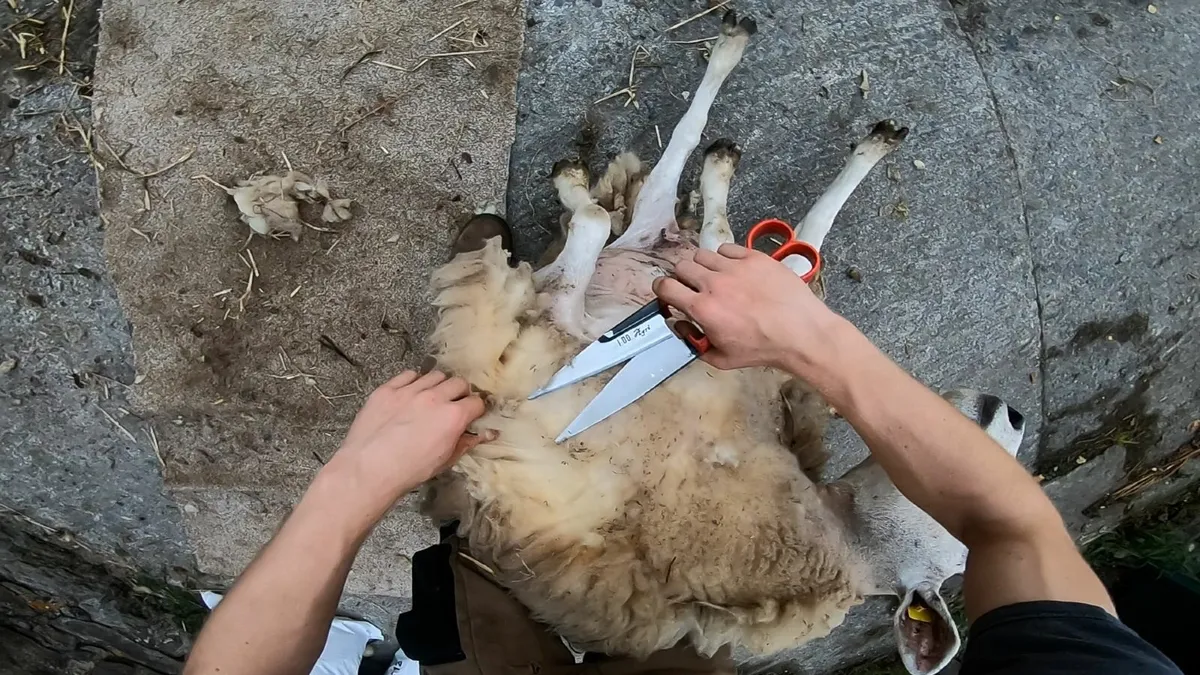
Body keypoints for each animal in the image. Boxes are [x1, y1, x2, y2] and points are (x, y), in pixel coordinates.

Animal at [423, 11, 1026, 674]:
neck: (830, 535)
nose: (1010, 410)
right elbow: (794, 252)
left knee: (648, 207)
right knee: (641, 217)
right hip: (601, 307)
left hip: (617, 283)